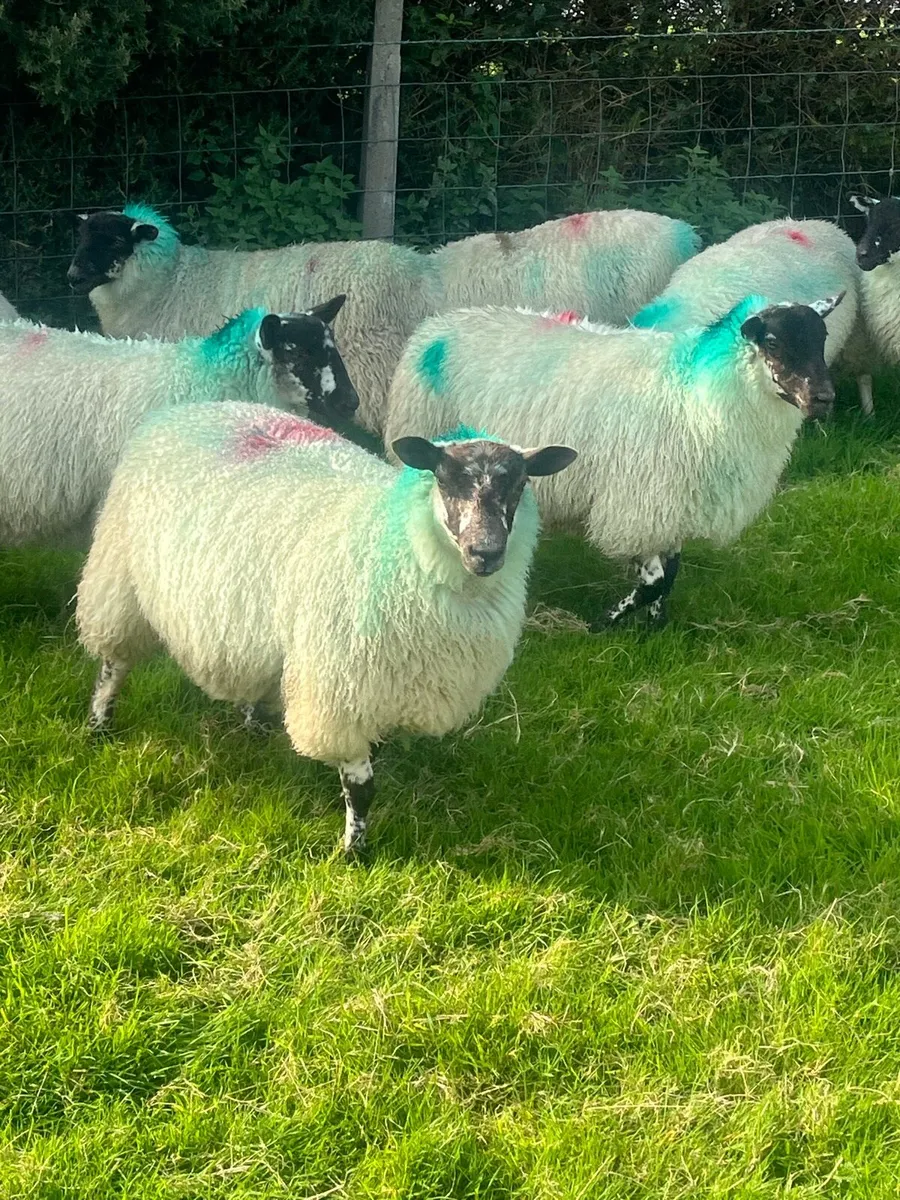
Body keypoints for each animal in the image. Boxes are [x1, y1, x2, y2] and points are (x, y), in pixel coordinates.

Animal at [66, 204, 430, 436]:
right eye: (81, 237)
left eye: (115, 240)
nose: (72, 277)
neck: (172, 279)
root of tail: (420, 276)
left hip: (373, 374)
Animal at [76, 402, 576, 856]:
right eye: (444, 477)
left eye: (520, 482)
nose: (485, 552)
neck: (393, 541)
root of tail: (194, 407)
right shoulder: (342, 688)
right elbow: (363, 786)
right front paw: (353, 852)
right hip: (119, 580)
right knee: (113, 664)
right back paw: (99, 726)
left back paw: (254, 725)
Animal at [384, 294, 843, 629]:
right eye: (773, 342)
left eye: (822, 338)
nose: (824, 398)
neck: (699, 395)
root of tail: (442, 321)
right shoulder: (639, 503)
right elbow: (655, 581)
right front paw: (604, 623)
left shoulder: (671, 503)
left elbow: (671, 572)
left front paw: (656, 626)